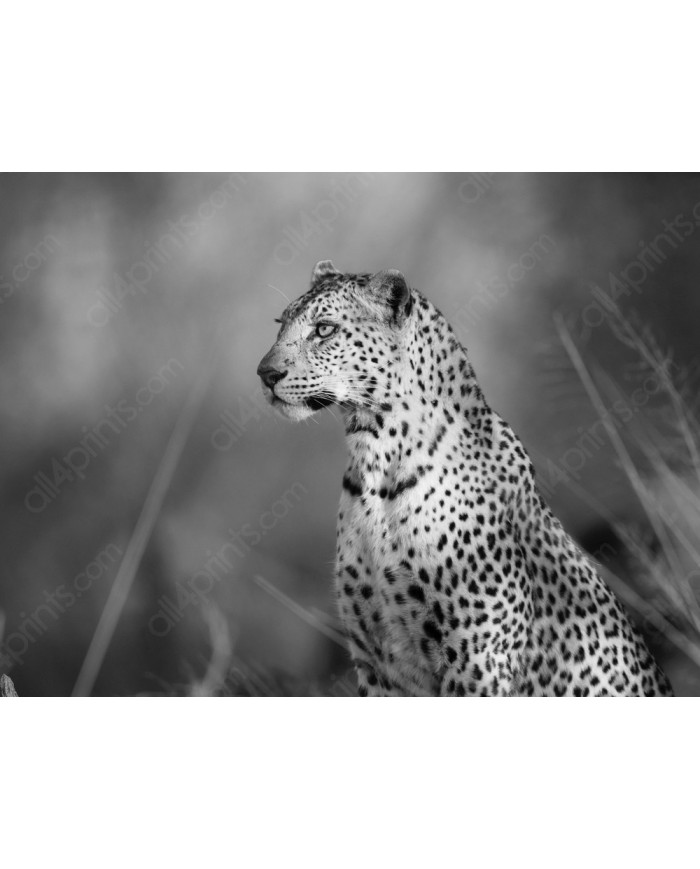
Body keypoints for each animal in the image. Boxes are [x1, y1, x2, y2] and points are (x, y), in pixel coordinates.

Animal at [257, 260, 673, 696]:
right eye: (280, 325)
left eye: (324, 329)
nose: (265, 373)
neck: (374, 460)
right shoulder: (375, 657)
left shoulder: (478, 655)